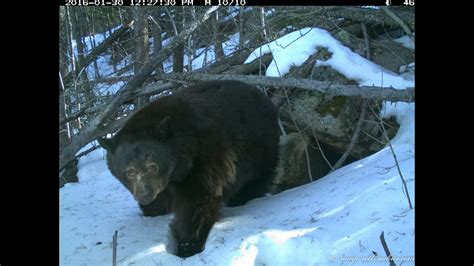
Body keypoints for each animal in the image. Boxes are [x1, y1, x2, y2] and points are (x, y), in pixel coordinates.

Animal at [97, 80, 280, 258]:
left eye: (153, 167)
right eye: (129, 172)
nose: (145, 196)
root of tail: (261, 93)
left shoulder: (206, 158)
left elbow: (197, 200)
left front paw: (187, 243)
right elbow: (162, 199)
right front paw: (153, 210)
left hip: (260, 146)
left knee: (257, 178)